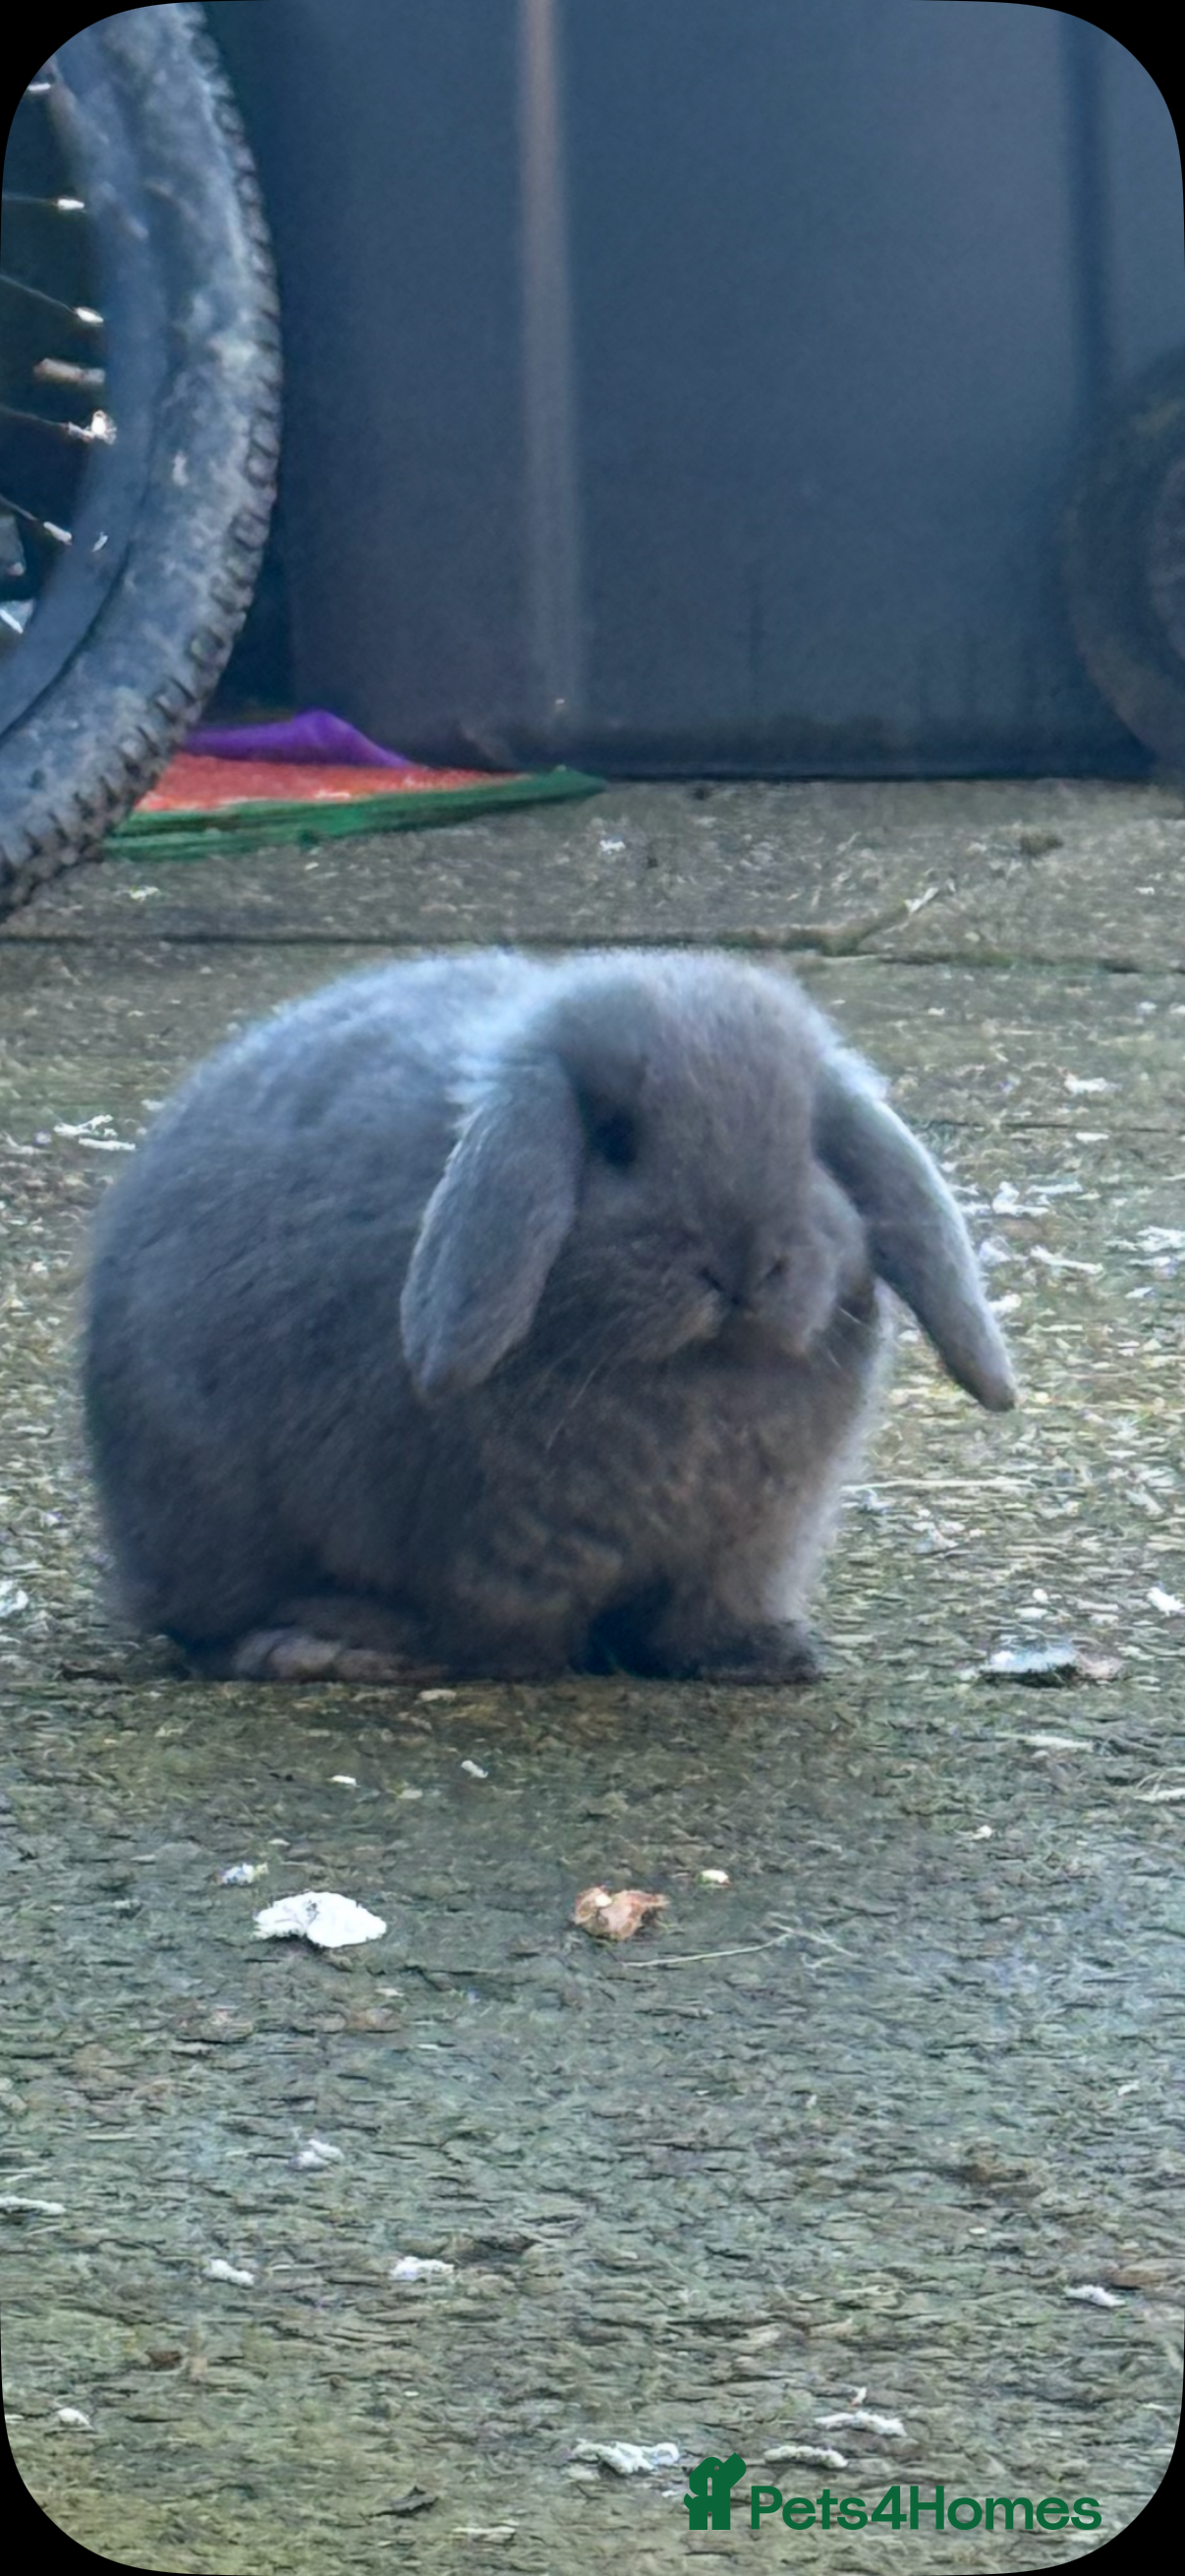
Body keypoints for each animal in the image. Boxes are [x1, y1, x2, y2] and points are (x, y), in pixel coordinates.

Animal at [82, 948, 1015, 1684]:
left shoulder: (750, 1547)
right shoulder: (502, 1552)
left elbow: (707, 1616)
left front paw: (763, 1658)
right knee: (208, 1627)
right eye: (613, 1140)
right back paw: (315, 1645)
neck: (687, 1376)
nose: (744, 1266)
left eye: (811, 1147)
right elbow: (502, 1631)